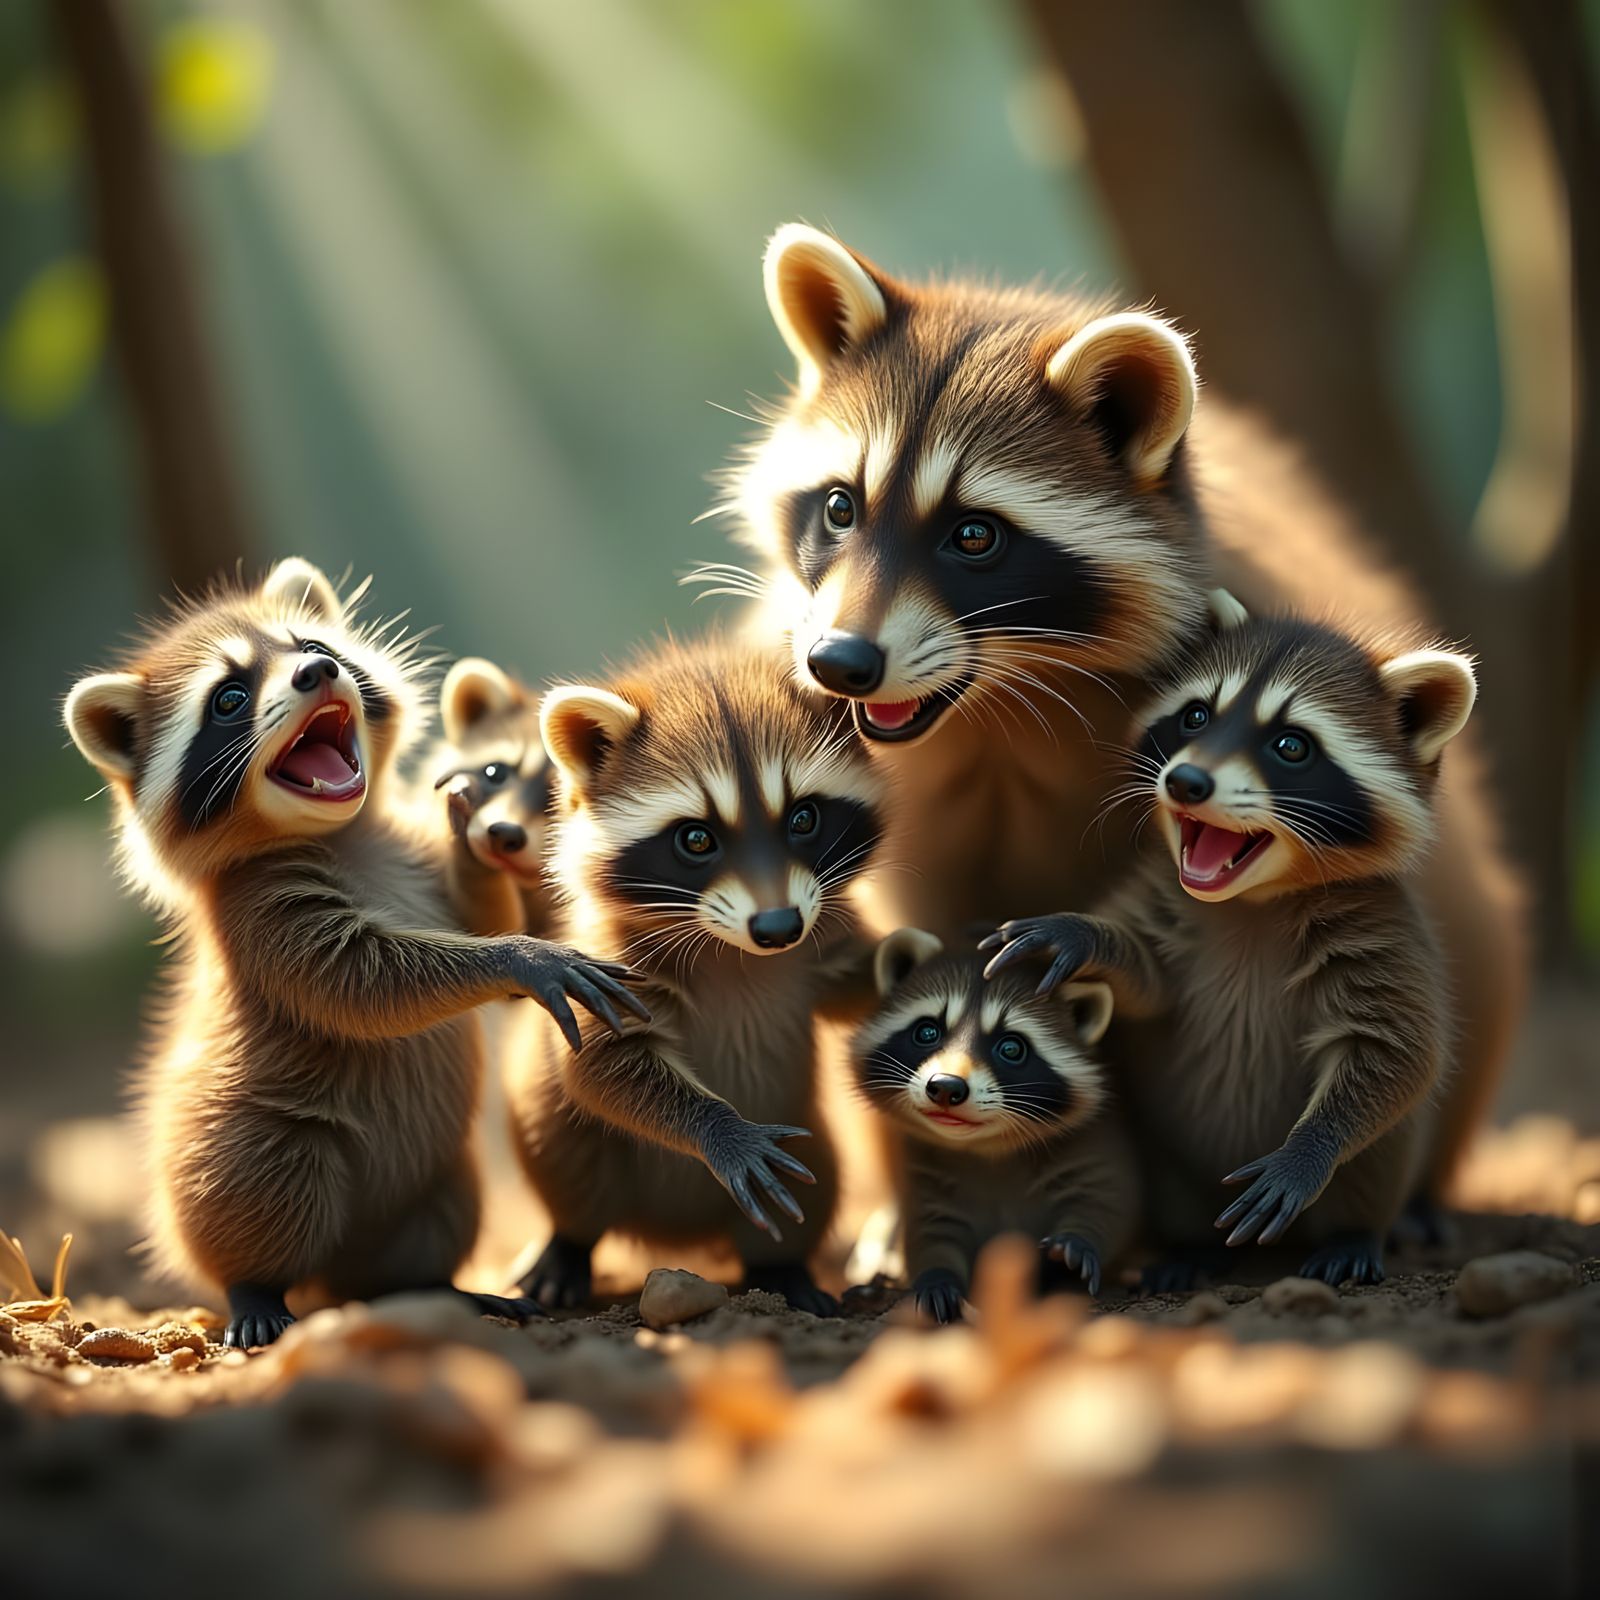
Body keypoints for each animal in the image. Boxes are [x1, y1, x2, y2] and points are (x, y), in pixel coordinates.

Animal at [508, 637, 884, 1315]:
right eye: (696, 839)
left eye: (804, 819)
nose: (779, 927)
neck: (734, 954)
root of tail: (678, 1236)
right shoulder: (606, 959)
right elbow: (602, 1061)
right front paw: (720, 1128)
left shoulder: (823, 938)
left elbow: (851, 990)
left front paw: (912, 954)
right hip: (559, 1134)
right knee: (569, 1167)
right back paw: (567, 1245)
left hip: (809, 1140)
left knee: (810, 1187)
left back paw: (783, 1270)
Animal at [852, 929, 1137, 1324]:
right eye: (927, 1031)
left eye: (1011, 1048)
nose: (946, 1087)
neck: (986, 1147)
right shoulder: (926, 1172)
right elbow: (931, 1232)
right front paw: (937, 1276)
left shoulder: (1096, 1145)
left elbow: (1108, 1203)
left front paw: (1079, 1240)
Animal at [982, 598, 1474, 1287]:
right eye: (1196, 715)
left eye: (1291, 745)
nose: (1185, 782)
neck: (1250, 903)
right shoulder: (1166, 900)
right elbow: (1147, 983)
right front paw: (1085, 936)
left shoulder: (1379, 927)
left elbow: (1397, 1052)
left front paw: (1307, 1150)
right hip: (1171, 1161)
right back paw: (1190, 1249)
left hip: (1375, 1168)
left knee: (1376, 1160)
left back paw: (1352, 1235)